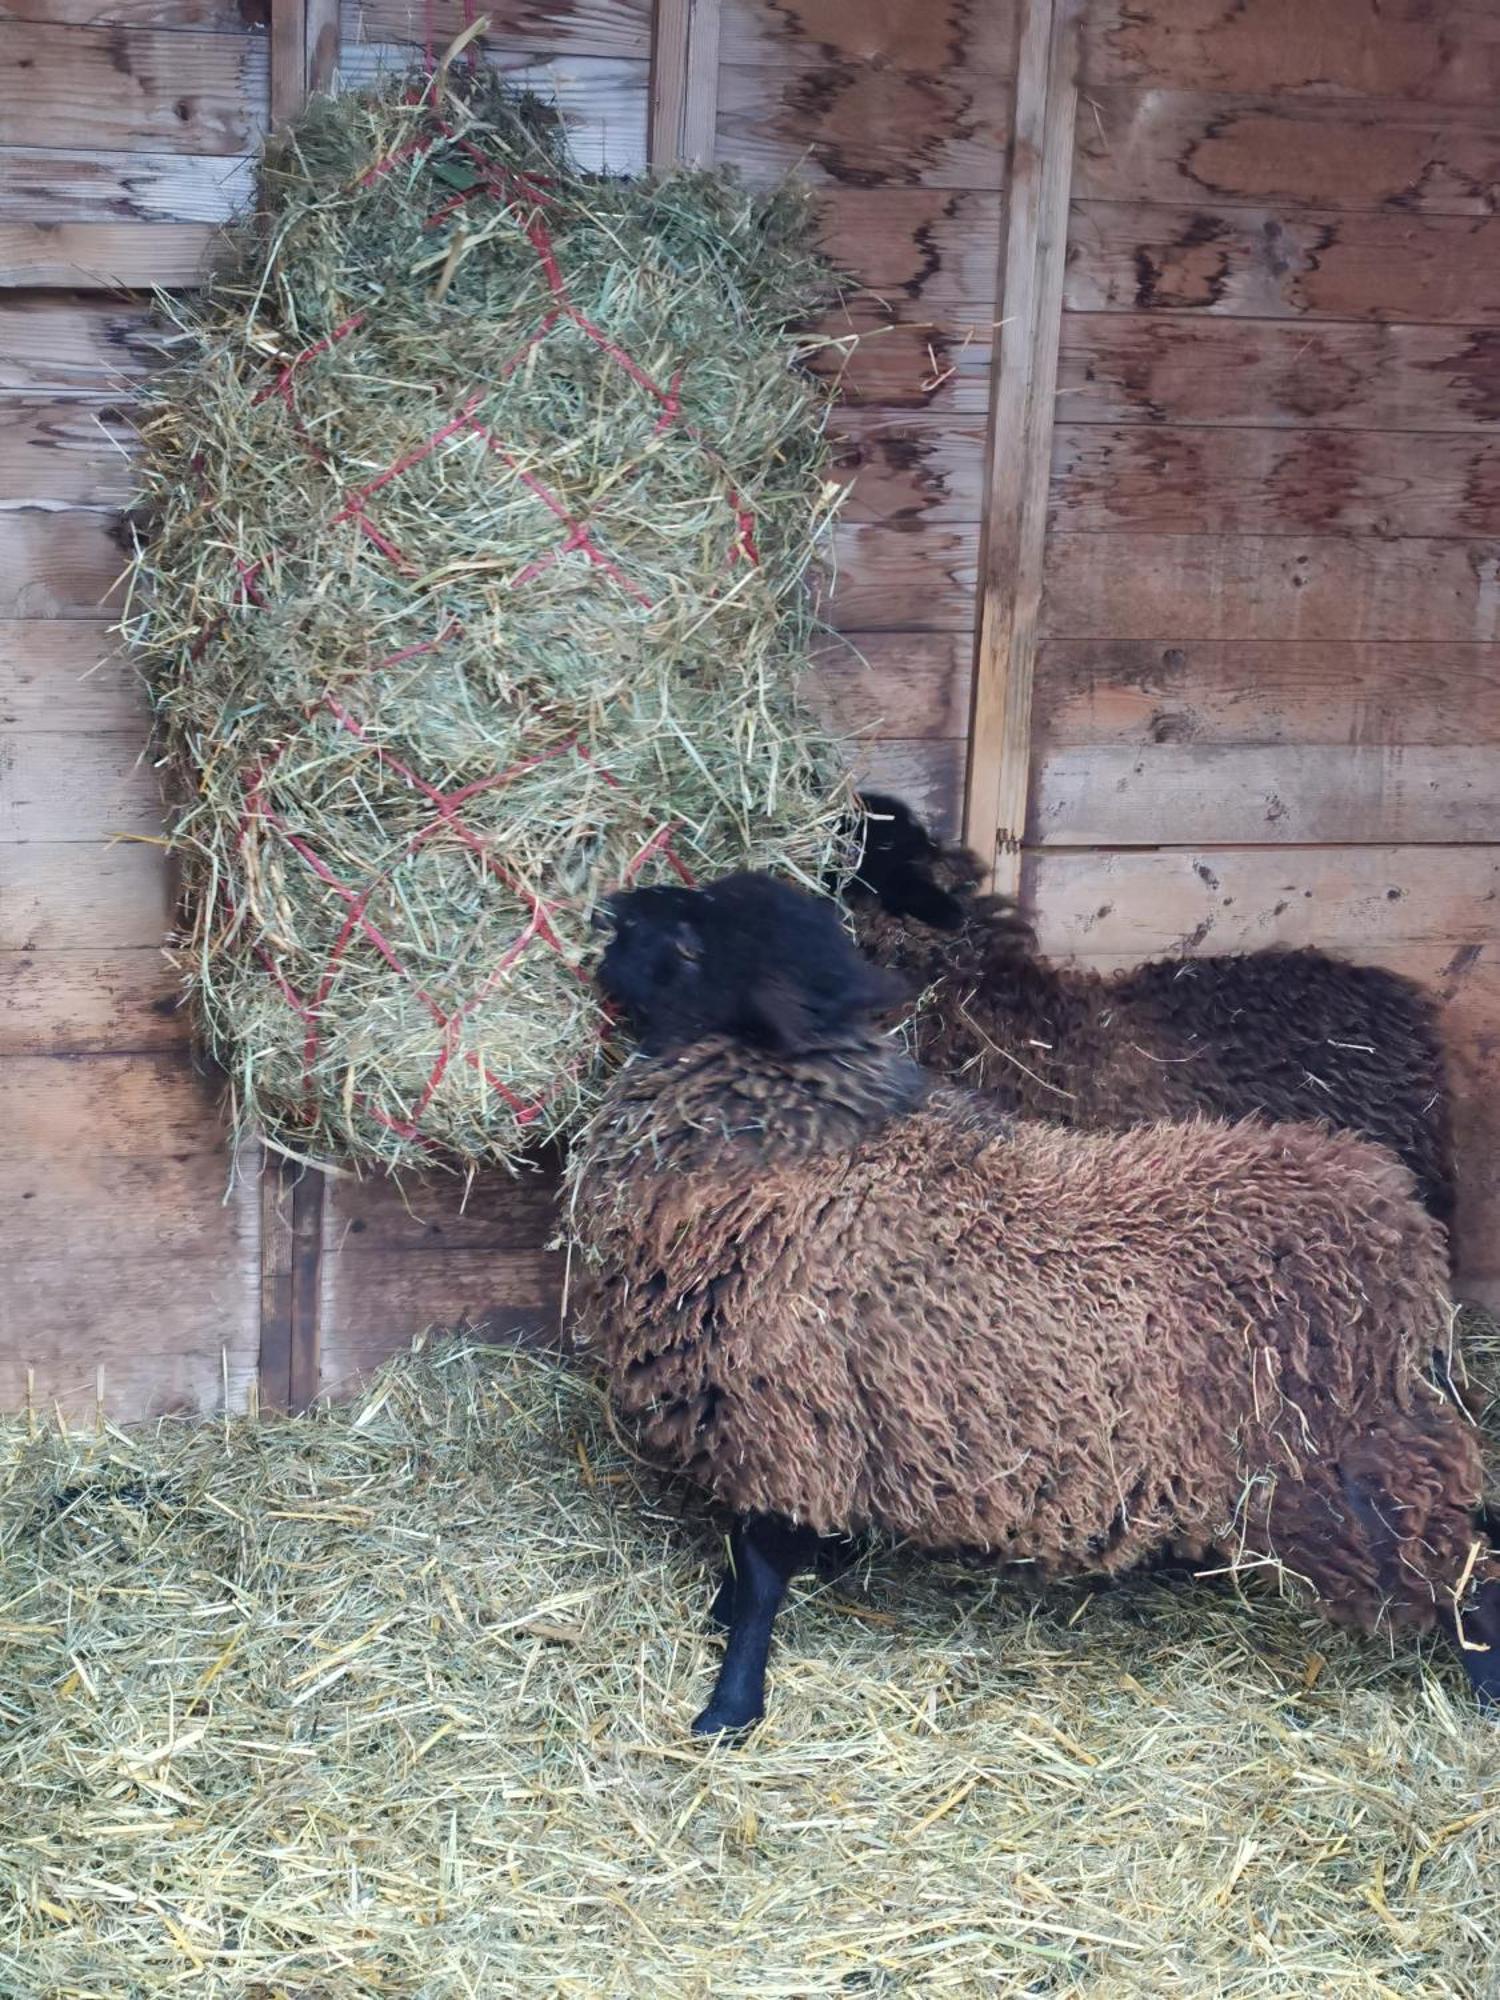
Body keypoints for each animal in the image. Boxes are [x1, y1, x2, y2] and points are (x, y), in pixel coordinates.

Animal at [568, 872, 1496, 1736]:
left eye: (691, 945)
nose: (610, 909)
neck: (811, 1151)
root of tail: (1401, 1226)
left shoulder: (788, 1425)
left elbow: (762, 1575)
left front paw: (728, 1709)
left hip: (1343, 1464)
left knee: (1466, 1563)